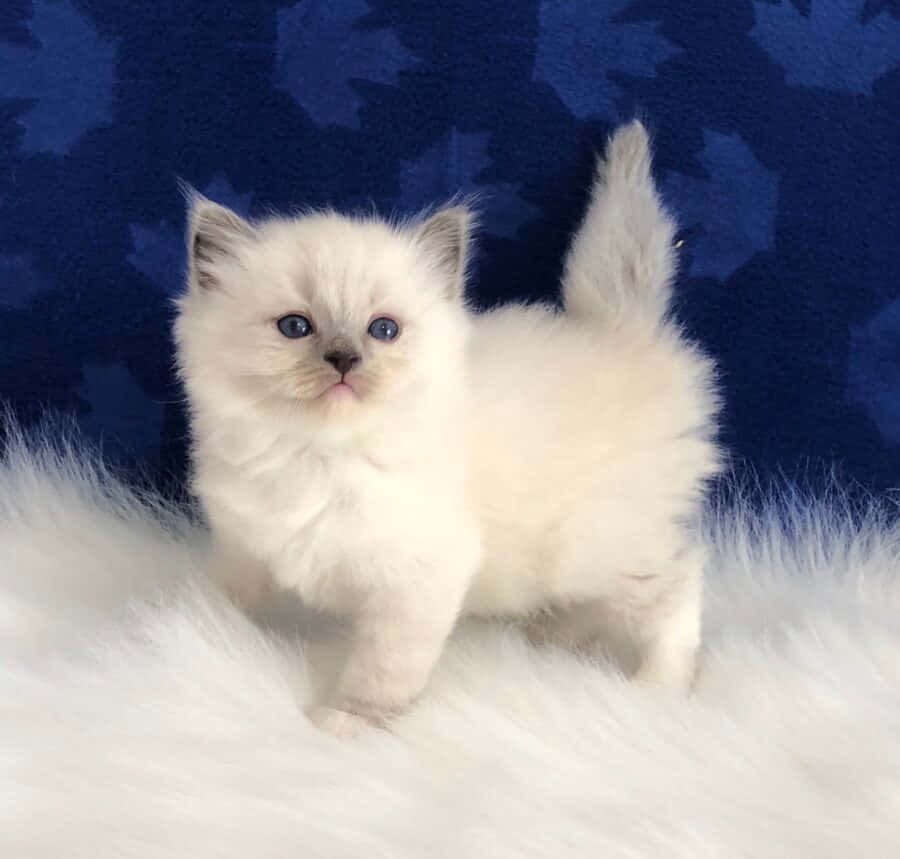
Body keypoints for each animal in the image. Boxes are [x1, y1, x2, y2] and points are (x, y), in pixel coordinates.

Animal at [176, 121, 724, 740]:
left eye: (383, 330)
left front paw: (343, 722)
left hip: (604, 545)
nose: (343, 360)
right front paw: (202, 639)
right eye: (295, 327)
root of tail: (622, 332)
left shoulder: (419, 580)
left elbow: (381, 671)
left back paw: (659, 688)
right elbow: (226, 601)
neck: (315, 453)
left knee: (679, 583)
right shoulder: (244, 547)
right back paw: (551, 638)